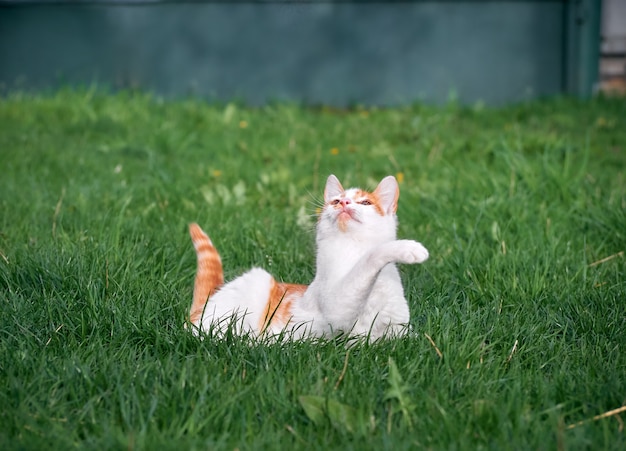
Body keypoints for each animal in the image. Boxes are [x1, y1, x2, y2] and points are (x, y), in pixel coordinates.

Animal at [188, 175, 426, 340]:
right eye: (336, 201)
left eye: (365, 203)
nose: (344, 203)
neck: (352, 250)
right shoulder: (337, 311)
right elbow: (370, 260)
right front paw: (410, 248)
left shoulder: (397, 333)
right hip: (257, 282)